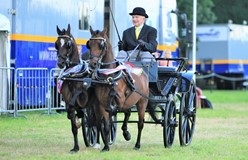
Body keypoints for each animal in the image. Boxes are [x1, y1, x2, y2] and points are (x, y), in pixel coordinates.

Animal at [55, 23, 97, 152]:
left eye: (68, 44)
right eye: (56, 44)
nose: (60, 63)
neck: (74, 75)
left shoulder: (82, 97)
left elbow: (76, 107)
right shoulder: (68, 100)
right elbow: (73, 124)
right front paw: (75, 147)